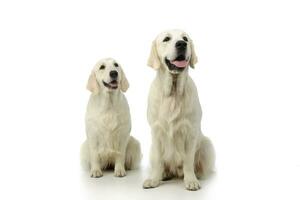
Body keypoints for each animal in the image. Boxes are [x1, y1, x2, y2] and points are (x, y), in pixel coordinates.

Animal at [143, 29, 216, 191]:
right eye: (166, 39)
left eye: (185, 38)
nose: (182, 44)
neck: (174, 91)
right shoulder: (156, 132)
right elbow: (159, 160)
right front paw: (154, 179)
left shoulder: (190, 132)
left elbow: (188, 161)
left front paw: (191, 180)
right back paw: (164, 174)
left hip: (206, 144)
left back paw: (198, 174)